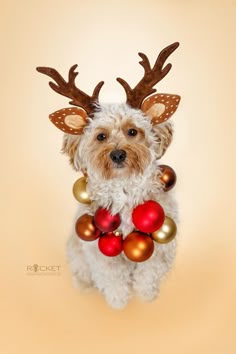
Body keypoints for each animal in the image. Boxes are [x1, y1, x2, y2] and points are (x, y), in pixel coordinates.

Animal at [37, 41, 181, 308]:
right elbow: (114, 282)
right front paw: (118, 305)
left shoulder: (158, 256)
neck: (124, 190)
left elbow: (147, 278)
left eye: (132, 131)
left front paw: (146, 300)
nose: (117, 155)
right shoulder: (102, 259)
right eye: (101, 136)